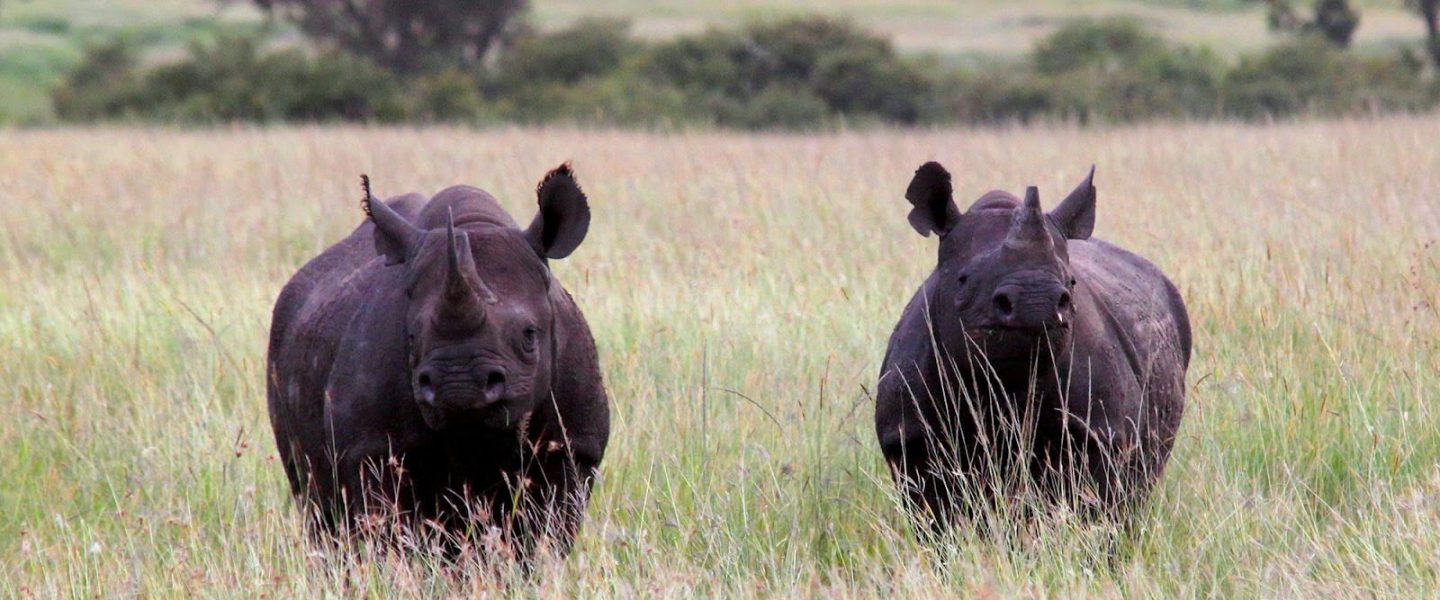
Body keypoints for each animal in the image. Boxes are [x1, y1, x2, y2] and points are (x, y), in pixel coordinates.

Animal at [266, 162, 607, 555]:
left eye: (529, 335)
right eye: (411, 337)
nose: (458, 385)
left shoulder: (572, 447)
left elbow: (547, 533)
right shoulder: (370, 451)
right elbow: (385, 534)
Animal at [875, 161, 1192, 529]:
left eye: (1071, 283)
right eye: (963, 279)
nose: (1035, 302)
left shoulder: (1101, 436)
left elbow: (1095, 514)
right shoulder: (911, 442)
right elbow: (937, 520)